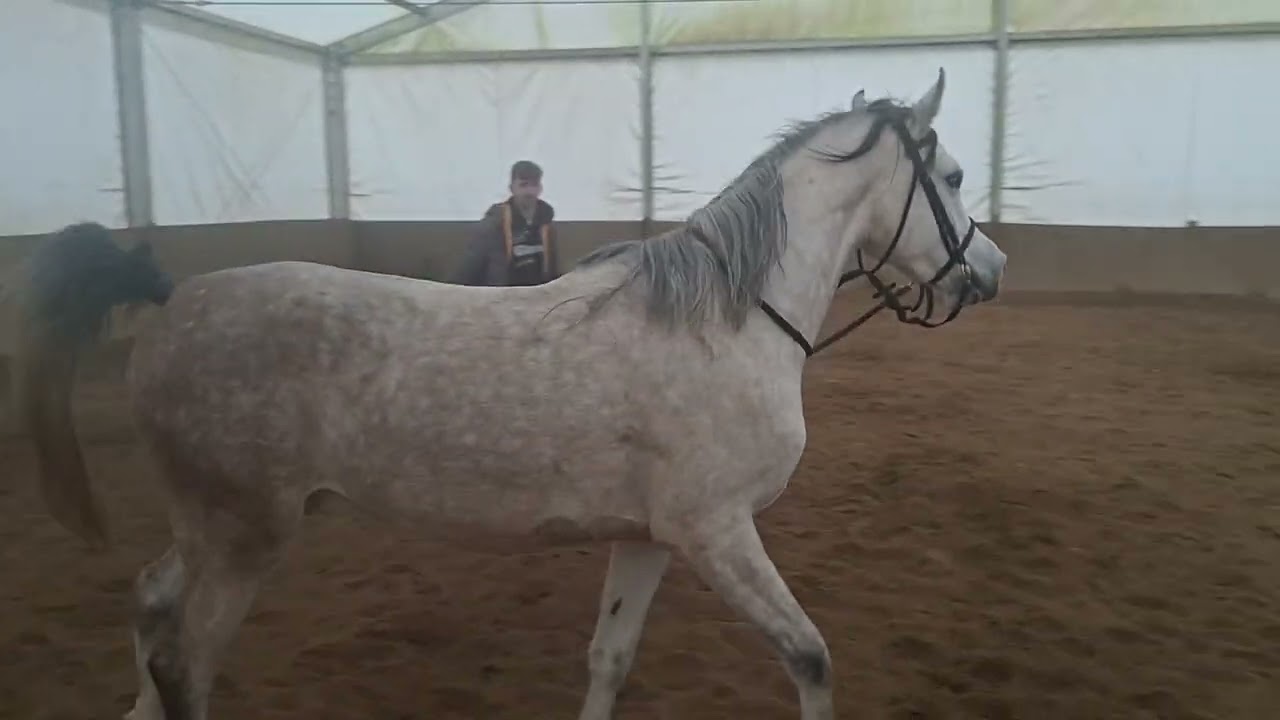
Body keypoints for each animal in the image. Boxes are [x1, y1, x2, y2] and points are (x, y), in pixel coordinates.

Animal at [14, 68, 1006, 720]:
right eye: (954, 177)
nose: (991, 270)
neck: (727, 322)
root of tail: (171, 302)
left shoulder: (652, 537)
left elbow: (610, 659)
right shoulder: (718, 532)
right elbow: (809, 659)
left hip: (211, 528)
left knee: (152, 608)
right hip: (243, 538)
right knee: (185, 665)